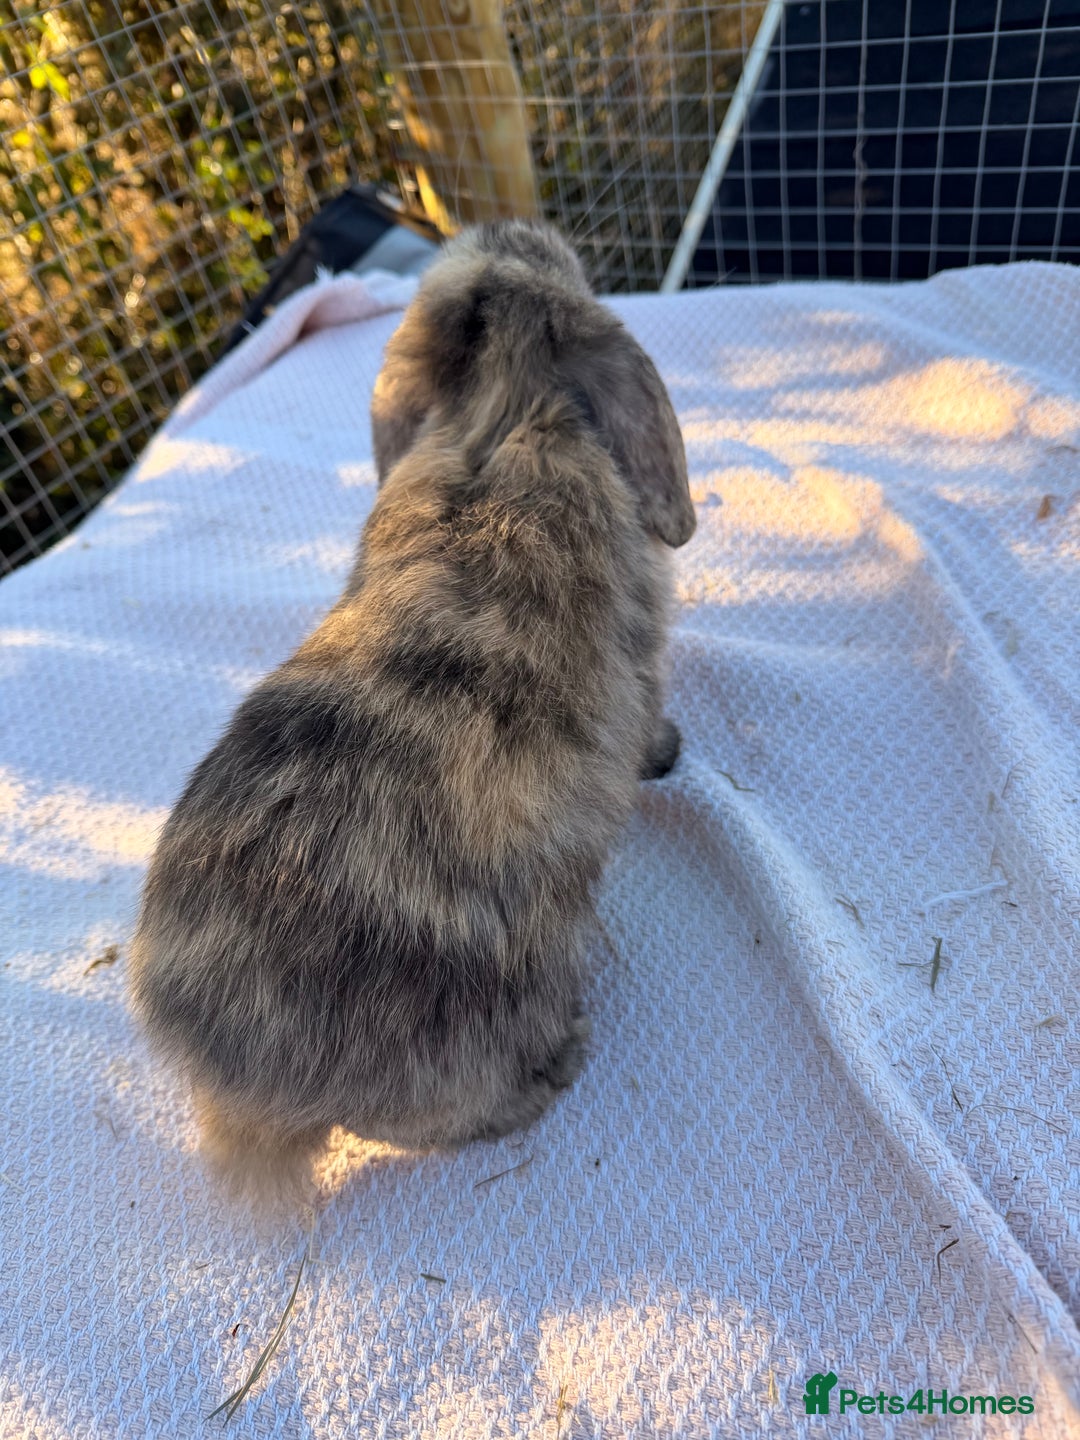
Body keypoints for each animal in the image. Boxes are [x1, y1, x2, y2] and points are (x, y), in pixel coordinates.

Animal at [128, 218, 695, 1204]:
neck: (498, 410)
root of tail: (228, 1070)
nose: (506, 225)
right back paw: (554, 1067)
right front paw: (667, 752)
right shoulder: (644, 643)